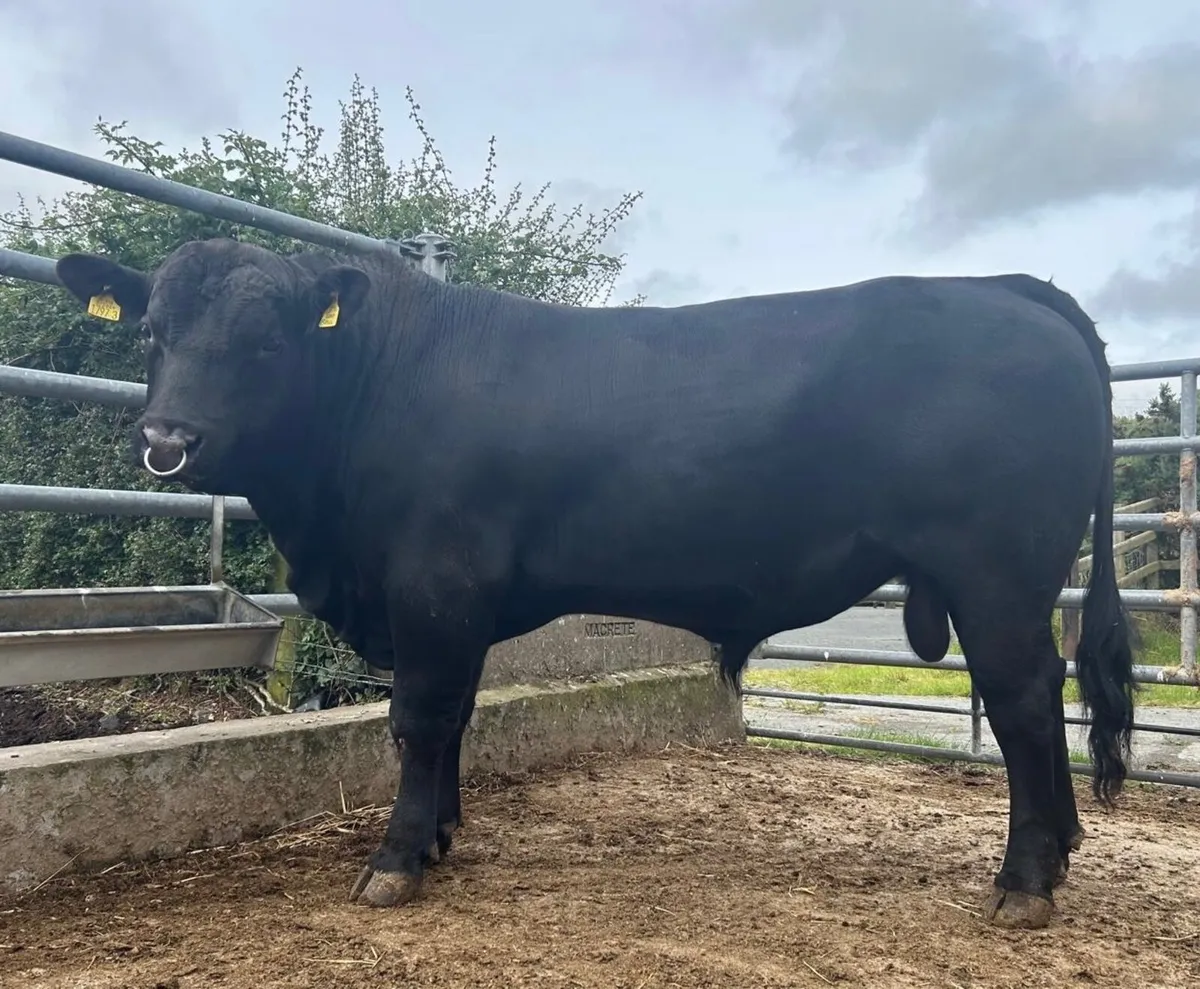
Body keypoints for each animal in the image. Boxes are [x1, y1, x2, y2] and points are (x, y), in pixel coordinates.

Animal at [54, 237, 1135, 930]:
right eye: (151, 331)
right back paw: (1064, 849)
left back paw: (1025, 881)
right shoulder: (454, 605)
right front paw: (439, 834)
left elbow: (419, 717)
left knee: (1024, 702)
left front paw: (395, 859)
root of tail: (1010, 288)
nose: (166, 439)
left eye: (267, 336)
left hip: (996, 574)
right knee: (1042, 701)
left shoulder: (433, 582)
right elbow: (456, 715)